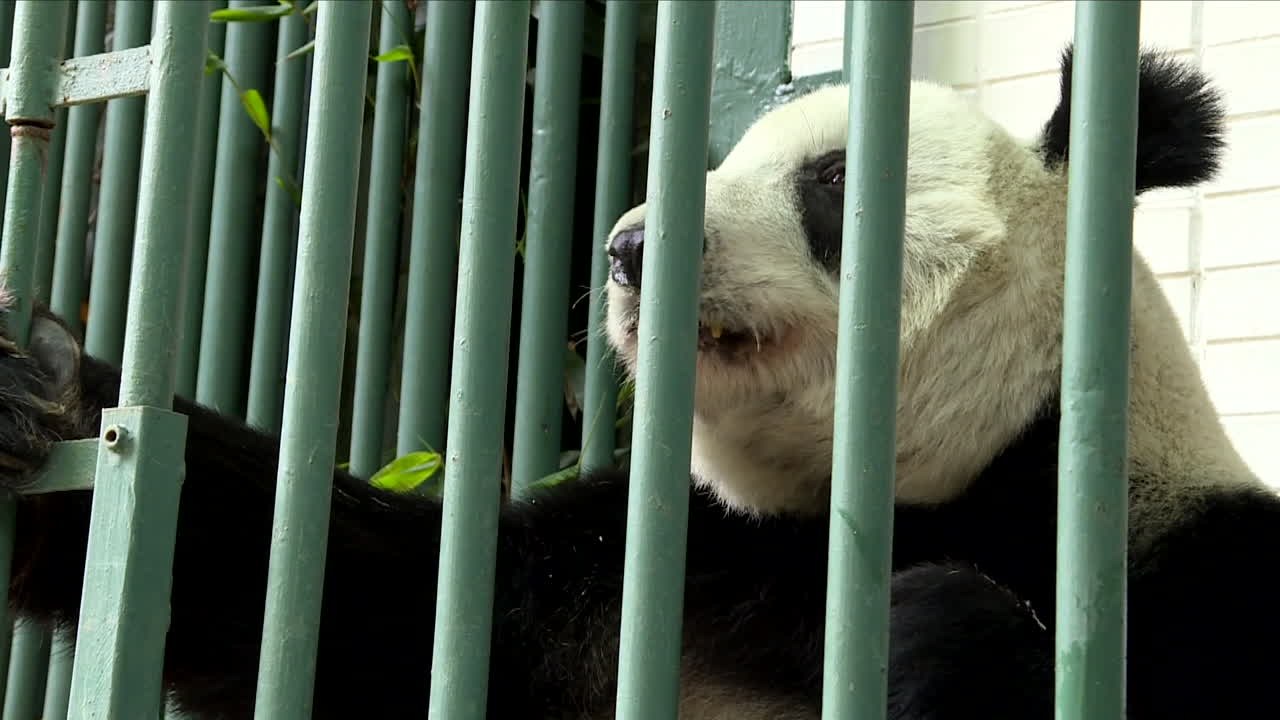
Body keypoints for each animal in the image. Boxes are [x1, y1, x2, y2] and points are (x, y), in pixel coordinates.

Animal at [0, 43, 1276, 720]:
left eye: (829, 181)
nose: (627, 249)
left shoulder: (1188, 583)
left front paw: (935, 632)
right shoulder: (629, 574)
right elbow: (334, 603)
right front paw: (41, 388)